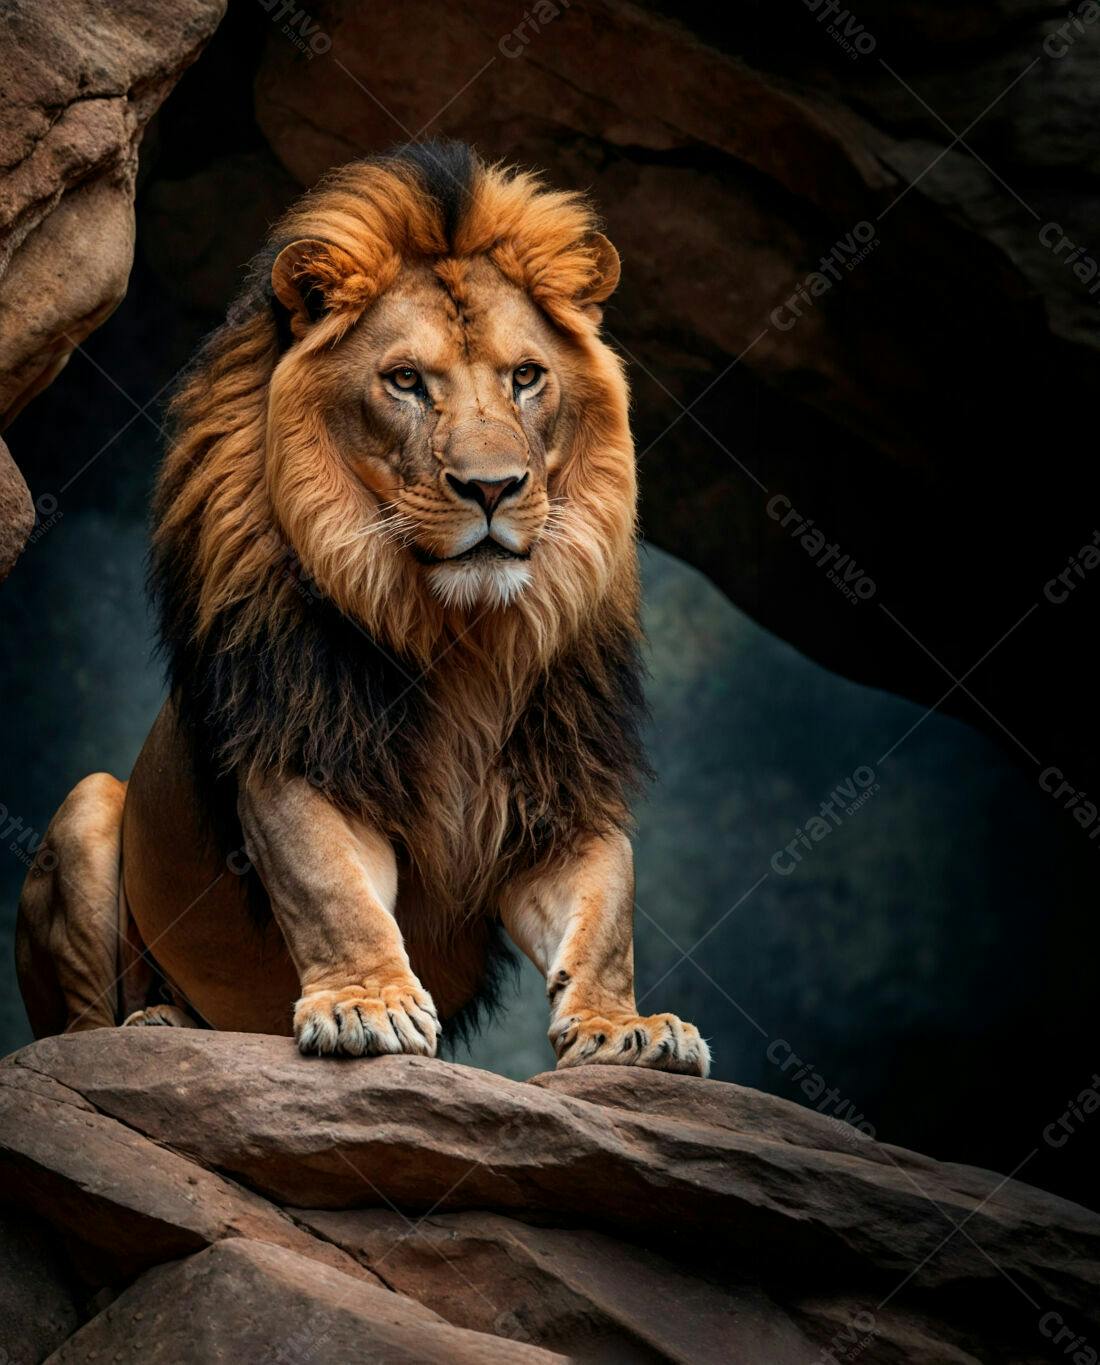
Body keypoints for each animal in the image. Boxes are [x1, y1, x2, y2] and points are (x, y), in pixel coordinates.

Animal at [15, 140, 710, 1077]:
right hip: (90, 806)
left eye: (527, 377)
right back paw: (155, 1025)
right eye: (407, 381)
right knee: (80, 1028)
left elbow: (608, 912)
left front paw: (626, 1025)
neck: (462, 635)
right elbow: (331, 888)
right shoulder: (299, 750)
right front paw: (366, 1004)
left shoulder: (564, 781)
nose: (493, 487)